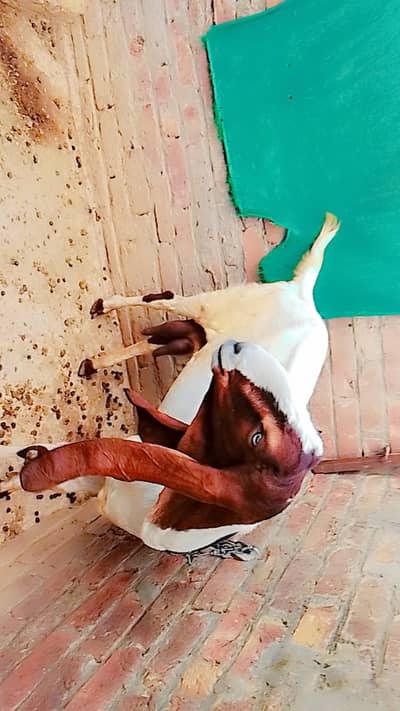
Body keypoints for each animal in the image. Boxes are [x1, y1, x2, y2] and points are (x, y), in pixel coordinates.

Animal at [18, 213, 340, 561]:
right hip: (215, 306)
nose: (238, 348)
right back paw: (103, 312)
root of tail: (303, 293)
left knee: (163, 329)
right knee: (166, 302)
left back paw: (94, 357)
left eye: (257, 438)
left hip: (211, 319)